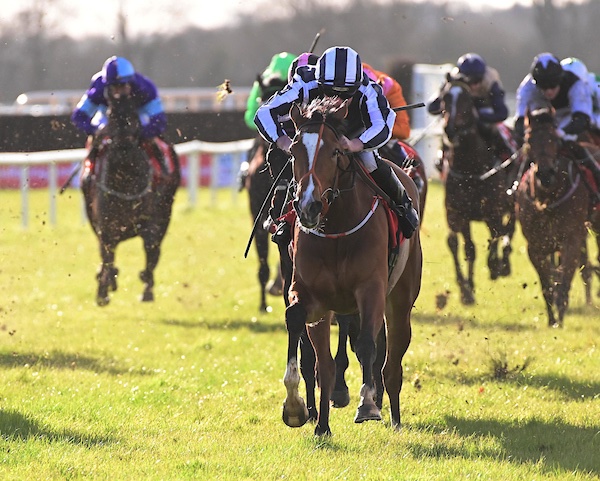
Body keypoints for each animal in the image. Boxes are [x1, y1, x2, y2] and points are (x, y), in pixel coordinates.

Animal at [82, 88, 180, 306]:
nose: (123, 140)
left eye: (133, 112)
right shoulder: (105, 225)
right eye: (110, 112)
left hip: (166, 213)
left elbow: (151, 250)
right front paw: (103, 290)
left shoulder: (151, 223)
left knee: (154, 251)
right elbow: (107, 254)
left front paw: (147, 288)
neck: (125, 183)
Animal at [282, 98, 422, 436]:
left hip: (400, 299)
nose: (308, 206)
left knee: (392, 362)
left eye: (335, 151)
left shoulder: (371, 288)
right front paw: (301, 412)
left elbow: (367, 346)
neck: (336, 229)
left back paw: (394, 417)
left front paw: (367, 405)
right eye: (293, 151)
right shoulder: (310, 295)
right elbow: (308, 341)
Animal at [440, 80, 516, 302]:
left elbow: (496, 235)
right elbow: (466, 247)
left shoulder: (493, 211)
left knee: (509, 229)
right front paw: (467, 290)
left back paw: (503, 264)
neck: (470, 169)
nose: (449, 129)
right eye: (445, 97)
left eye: (466, 99)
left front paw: (494, 266)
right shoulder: (459, 213)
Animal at [516, 108, 596, 326]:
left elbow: (565, 278)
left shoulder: (571, 240)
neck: (548, 197)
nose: (545, 173)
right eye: (530, 138)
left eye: (554, 137)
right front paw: (552, 318)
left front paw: (560, 312)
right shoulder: (535, 246)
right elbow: (547, 284)